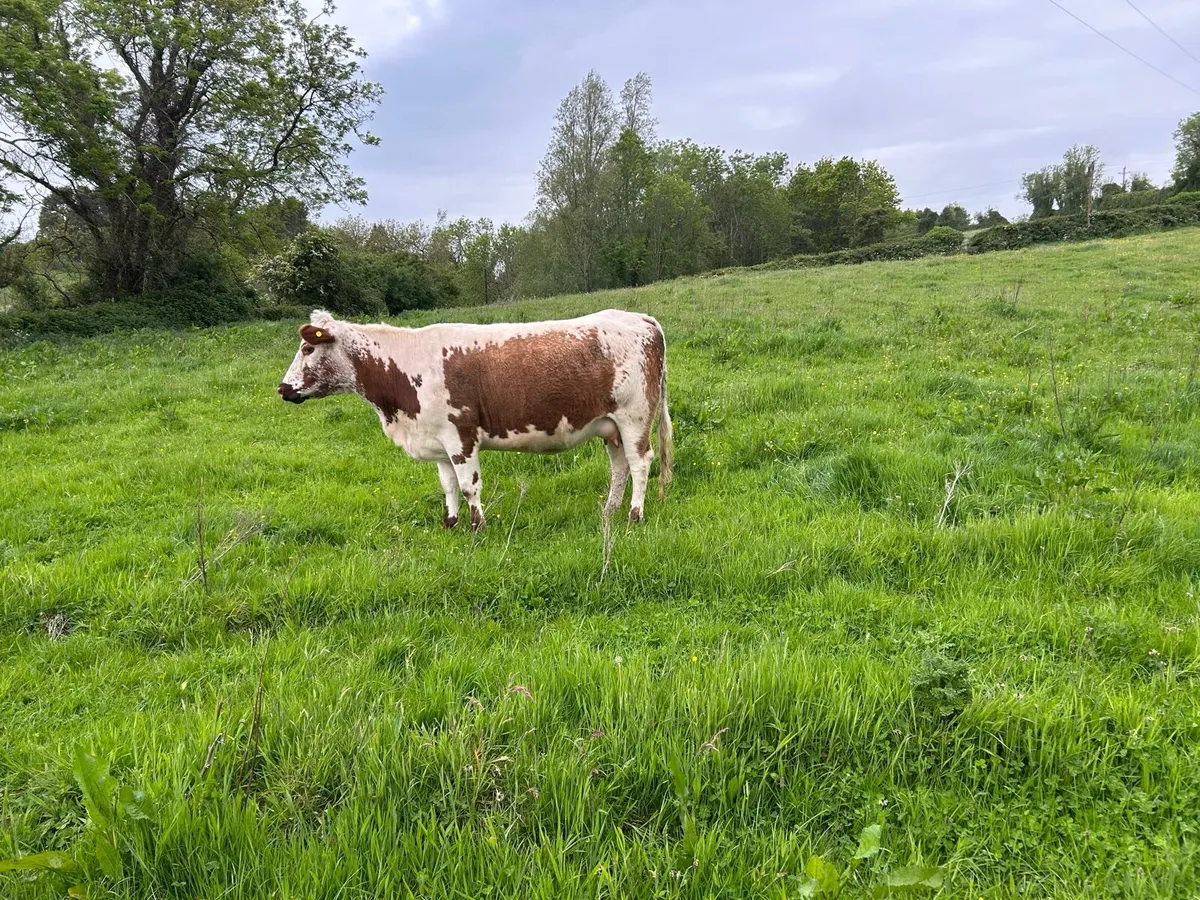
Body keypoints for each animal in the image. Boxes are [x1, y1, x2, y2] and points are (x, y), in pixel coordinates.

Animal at [277, 308, 673, 531]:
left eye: (308, 348)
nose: (282, 389)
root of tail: (642, 318)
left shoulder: (460, 436)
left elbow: (469, 486)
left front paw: (477, 526)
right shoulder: (437, 441)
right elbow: (448, 485)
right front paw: (451, 522)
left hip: (634, 417)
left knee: (641, 462)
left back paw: (634, 514)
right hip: (610, 426)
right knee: (620, 466)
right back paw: (610, 509)